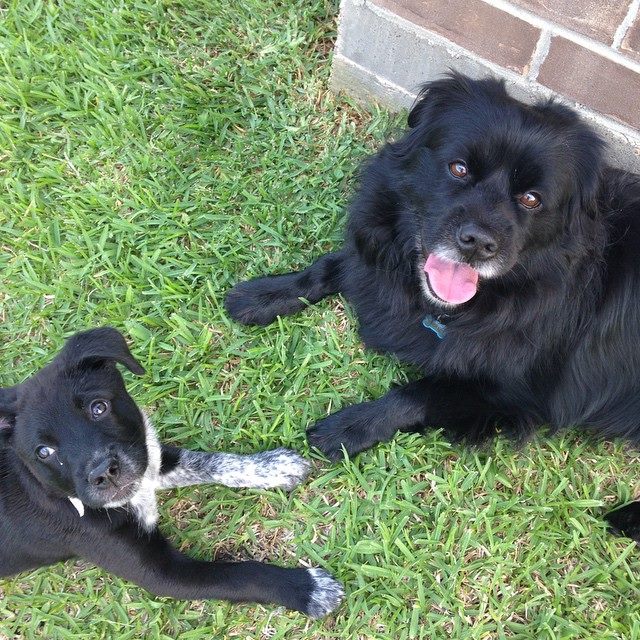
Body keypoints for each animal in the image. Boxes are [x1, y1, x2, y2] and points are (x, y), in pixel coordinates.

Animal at [0, 327, 343, 617]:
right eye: (44, 452)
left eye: (99, 407)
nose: (104, 473)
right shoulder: (160, 573)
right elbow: (242, 574)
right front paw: (308, 589)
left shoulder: (145, 456)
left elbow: (212, 462)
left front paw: (274, 466)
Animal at [225, 72, 640, 540]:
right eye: (459, 168)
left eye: (531, 198)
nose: (477, 243)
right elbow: (334, 266)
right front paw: (264, 295)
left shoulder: (515, 396)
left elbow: (416, 393)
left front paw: (347, 428)